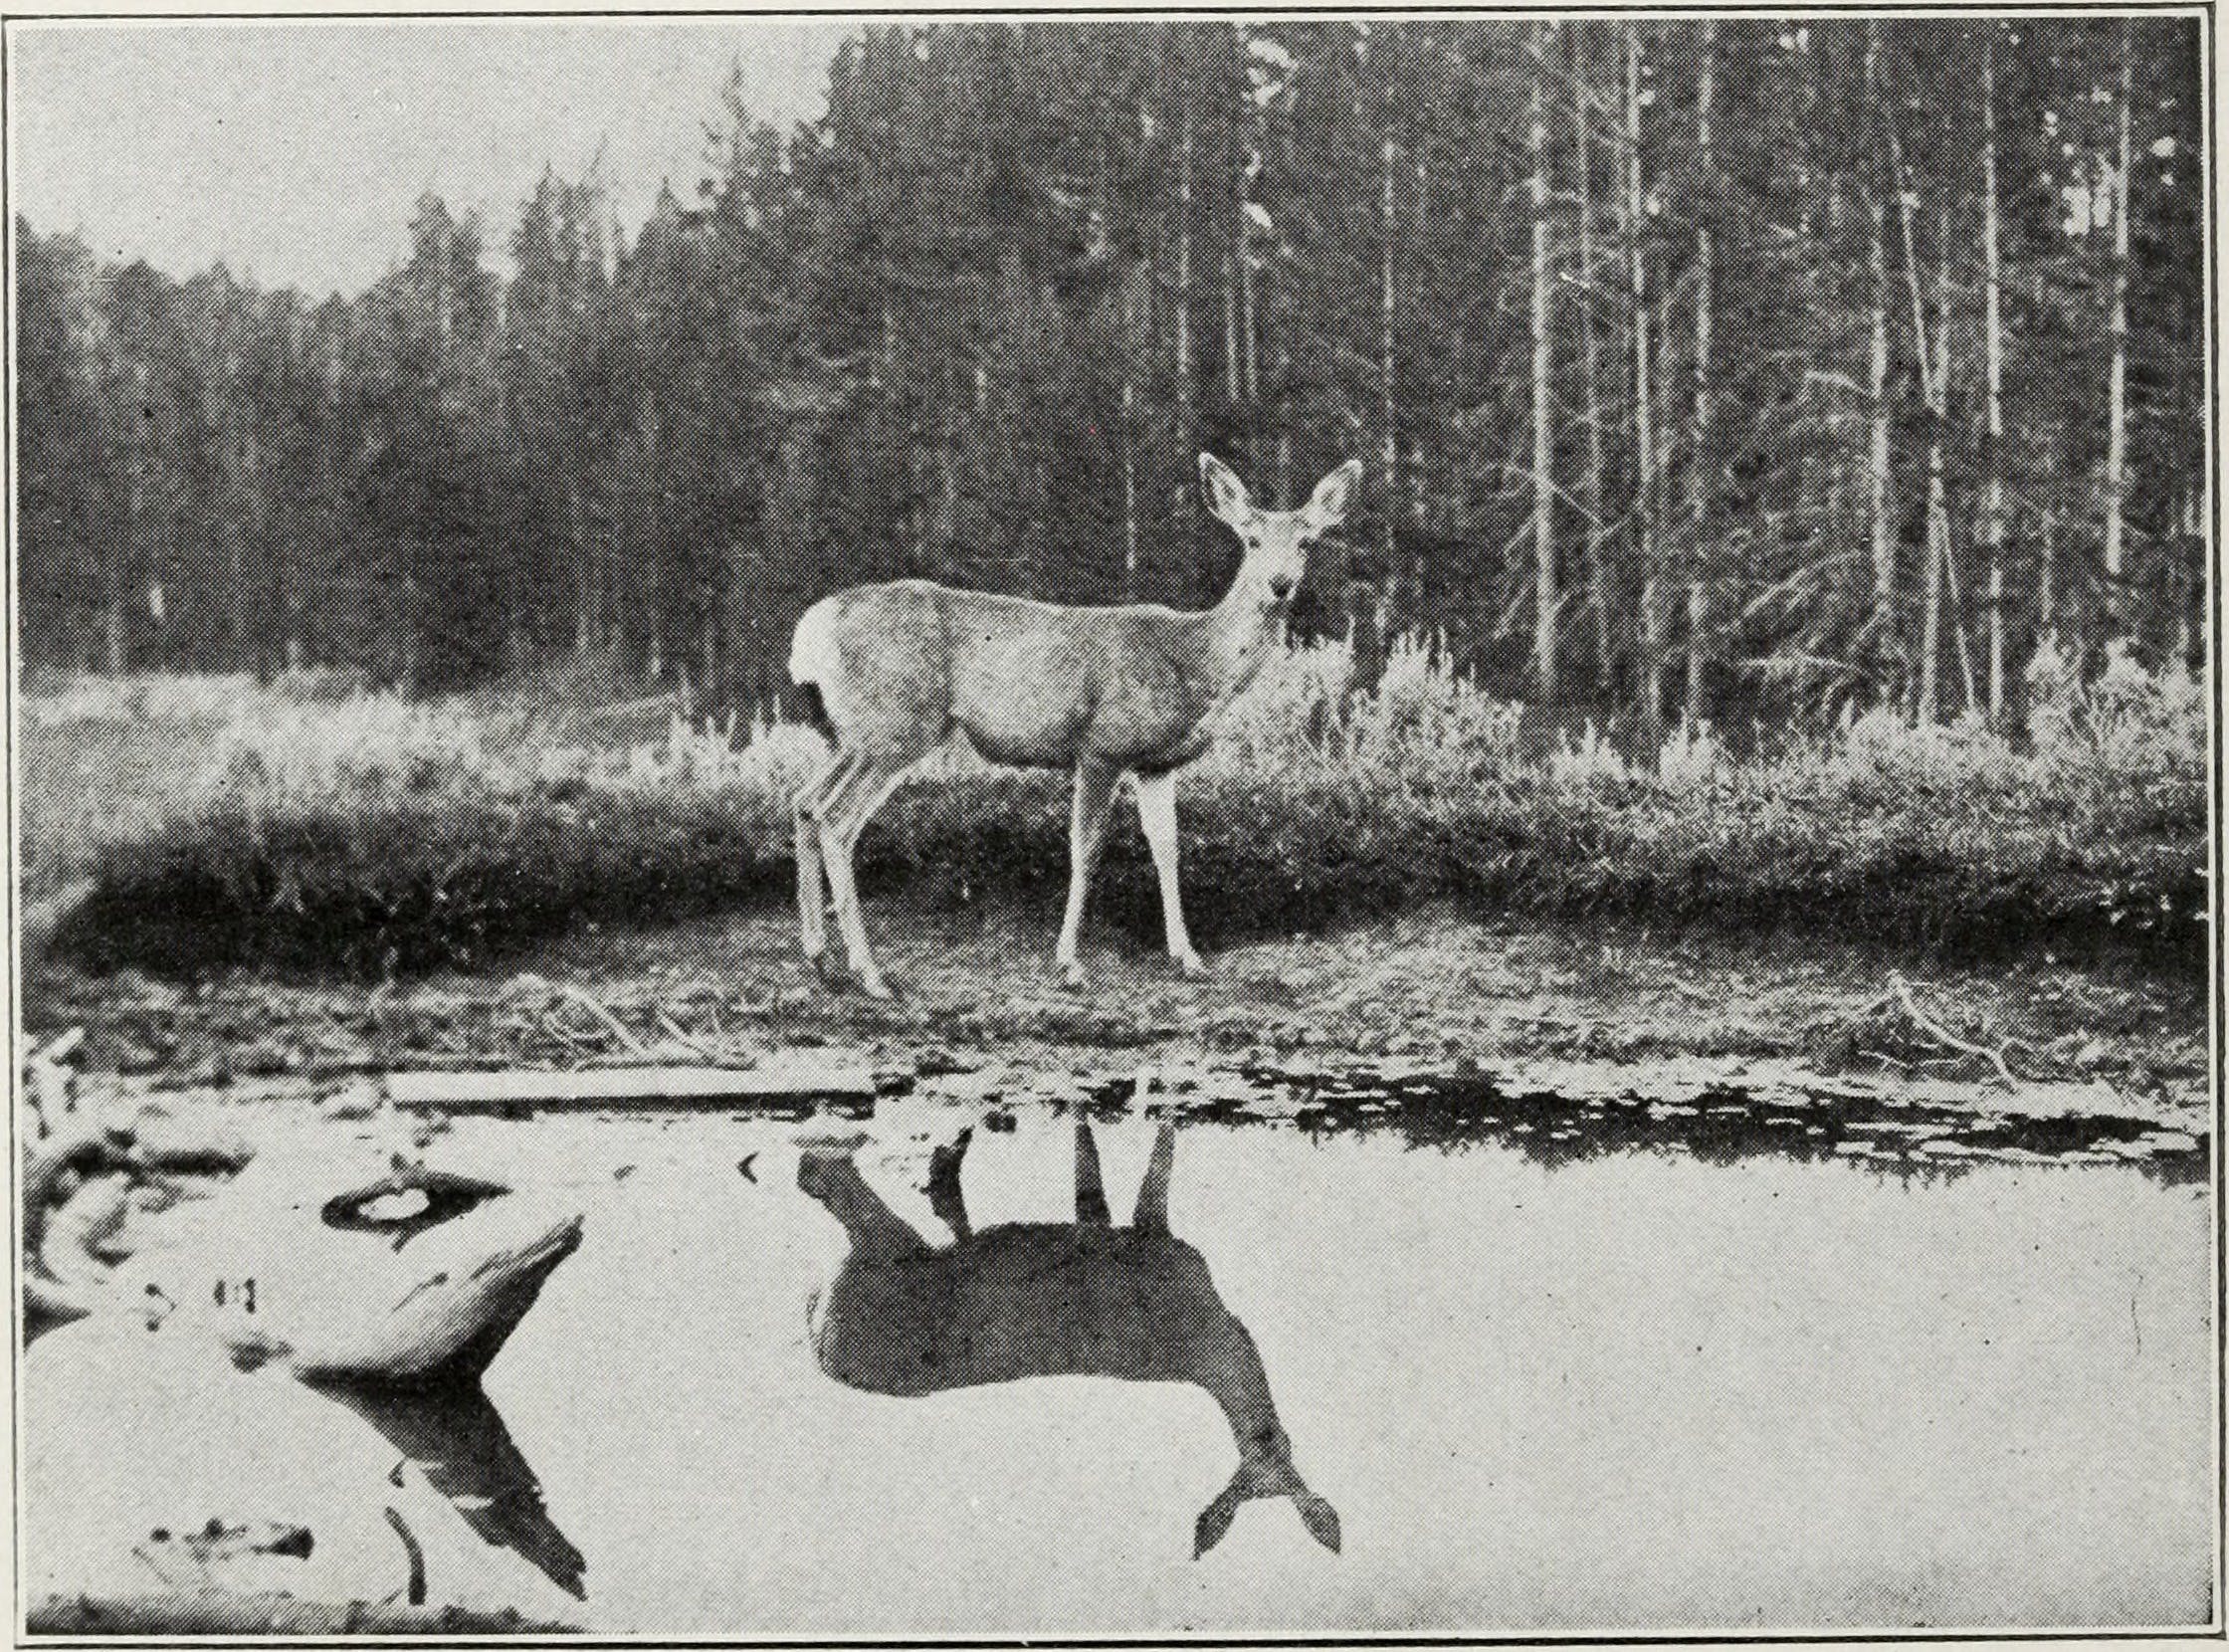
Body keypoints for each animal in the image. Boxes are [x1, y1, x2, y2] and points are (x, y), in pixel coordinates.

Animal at [788, 453, 1362, 998]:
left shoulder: (1157, 765)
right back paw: (870, 974)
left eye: (1307, 542)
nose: (1280, 584)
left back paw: (821, 960)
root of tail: (815, 627)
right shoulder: (1101, 746)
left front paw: (1189, 958)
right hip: (898, 723)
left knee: (805, 801)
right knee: (837, 820)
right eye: (1251, 539)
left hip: (853, 732)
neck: (1192, 662)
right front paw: (1068, 964)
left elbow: (1167, 848)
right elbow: (1085, 848)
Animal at [797, 1118, 1340, 1559]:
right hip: (893, 1253)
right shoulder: (1149, 1235)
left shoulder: (1133, 1229)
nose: (1266, 1449)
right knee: (830, 1184)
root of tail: (821, 1348)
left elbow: (1101, 1170)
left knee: (836, 1189)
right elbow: (1139, 1156)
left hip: (887, 1253)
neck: (1214, 1343)